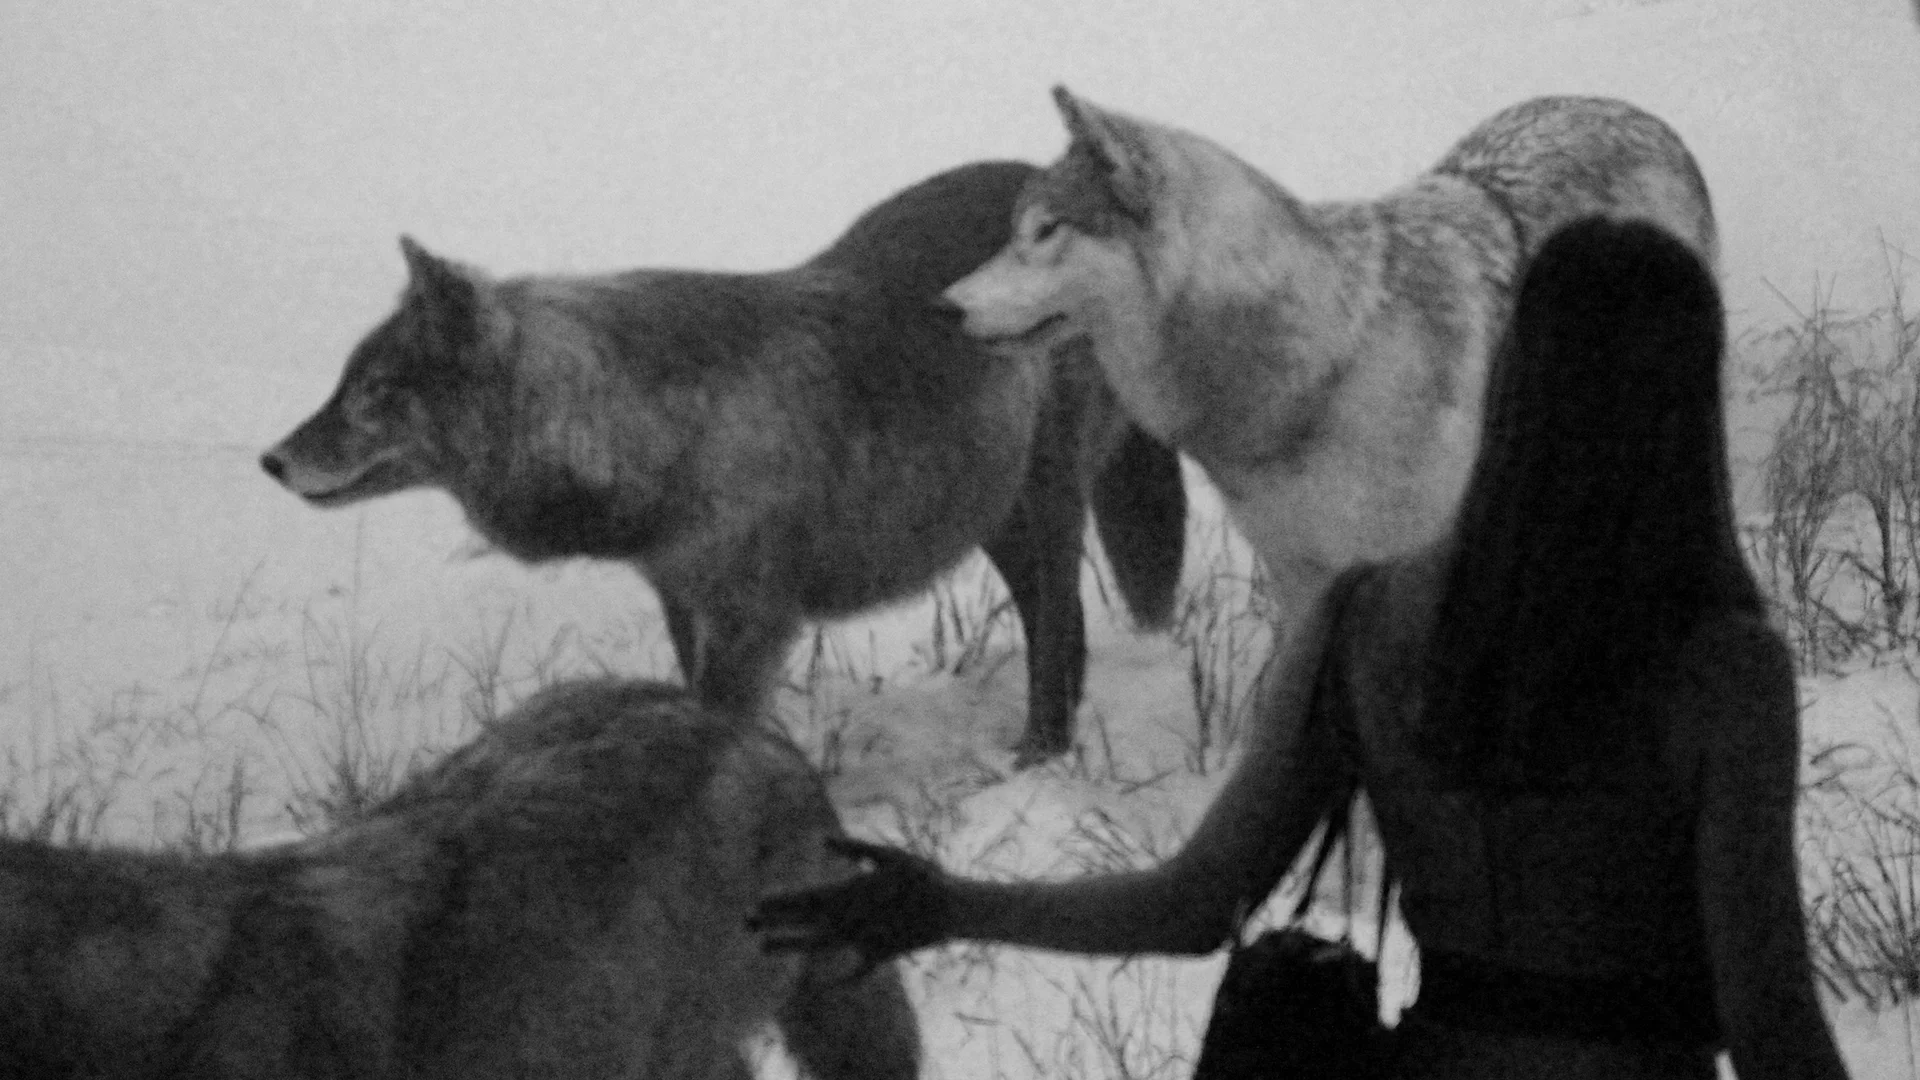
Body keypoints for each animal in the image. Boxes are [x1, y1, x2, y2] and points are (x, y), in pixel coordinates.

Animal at [261, 161, 1187, 764]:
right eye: (345, 379)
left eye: (375, 387)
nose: (271, 460)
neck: (650, 425)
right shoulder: (683, 600)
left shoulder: (750, 623)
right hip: (984, 513)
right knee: (1053, 618)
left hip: (1044, 501)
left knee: (1059, 616)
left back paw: (1045, 749)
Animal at [943, 90, 1717, 627]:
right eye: (1014, 230)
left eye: (1045, 231)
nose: (945, 306)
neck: (1327, 362)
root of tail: (1643, 117)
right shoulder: (1302, 575)